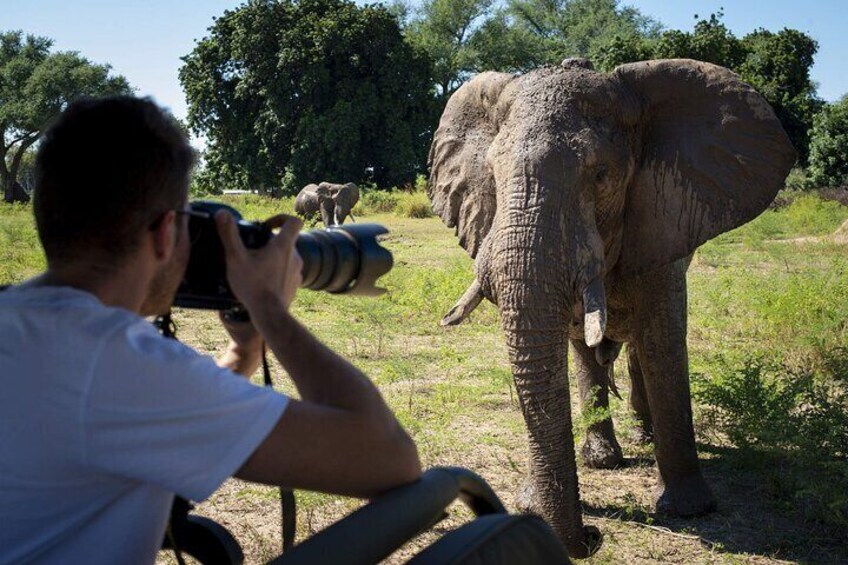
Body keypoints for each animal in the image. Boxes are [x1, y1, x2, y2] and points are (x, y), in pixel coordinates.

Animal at [428, 58, 800, 556]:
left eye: (601, 175)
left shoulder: (662, 225)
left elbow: (663, 343)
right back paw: (603, 458)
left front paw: (691, 510)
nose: (592, 535)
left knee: (642, 349)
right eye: (491, 172)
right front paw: (535, 499)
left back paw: (645, 435)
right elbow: (571, 341)